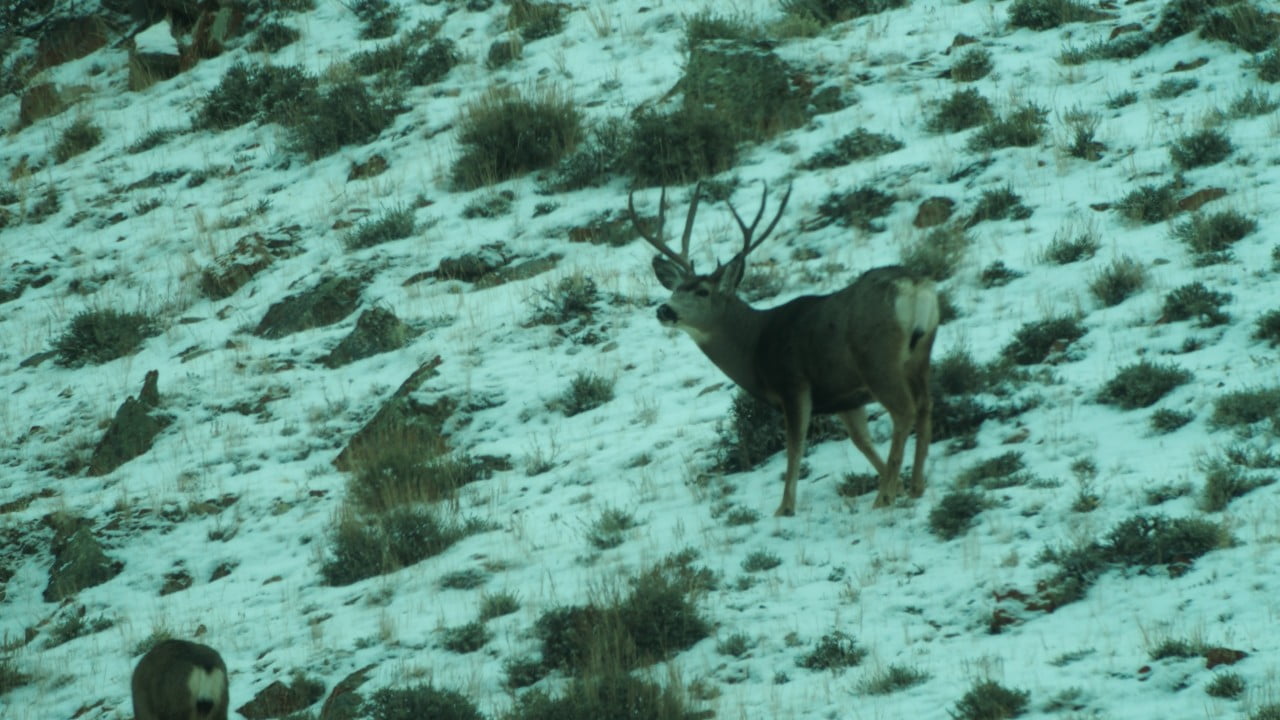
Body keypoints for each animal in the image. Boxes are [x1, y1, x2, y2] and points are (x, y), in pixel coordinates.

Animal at [629, 181, 942, 512]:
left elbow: (794, 447)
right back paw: (916, 485)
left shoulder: (793, 384)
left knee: (904, 410)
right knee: (925, 405)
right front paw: (897, 483)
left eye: (702, 291)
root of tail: (914, 288)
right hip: (920, 354)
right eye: (676, 289)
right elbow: (861, 441)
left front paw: (784, 508)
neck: (755, 346)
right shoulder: (844, 397)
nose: (664, 310)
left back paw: (883, 498)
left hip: (877, 359)